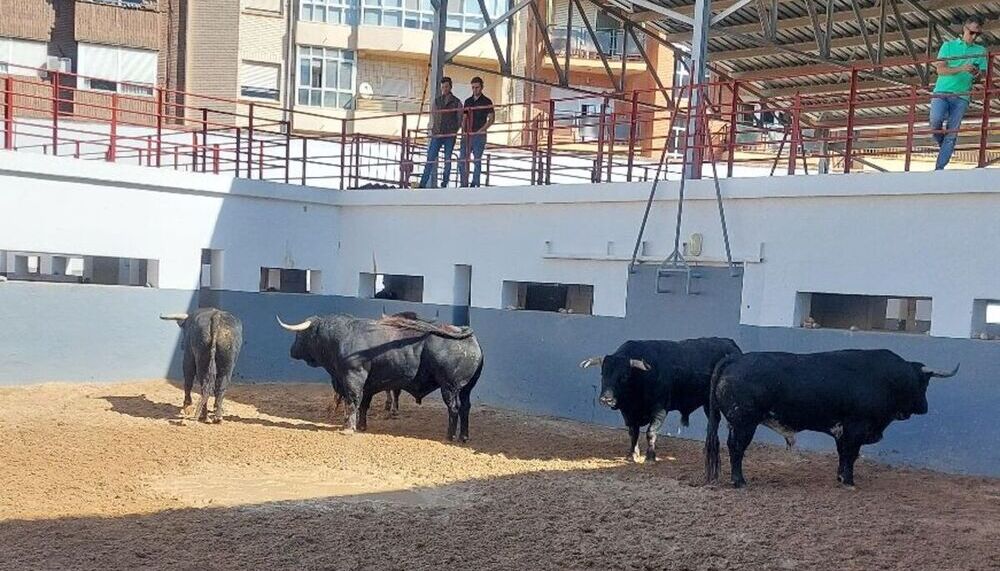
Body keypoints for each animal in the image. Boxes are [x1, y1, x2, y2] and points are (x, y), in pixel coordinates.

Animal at [282, 312, 484, 442]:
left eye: (301, 334)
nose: (291, 350)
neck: (340, 338)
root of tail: (466, 335)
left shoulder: (352, 378)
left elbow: (352, 402)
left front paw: (348, 428)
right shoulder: (368, 385)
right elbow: (364, 405)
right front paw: (361, 426)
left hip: (449, 387)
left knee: (454, 408)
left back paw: (449, 436)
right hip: (466, 388)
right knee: (465, 407)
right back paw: (464, 436)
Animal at [708, 350, 956, 490]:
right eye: (924, 382)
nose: (924, 408)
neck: (887, 378)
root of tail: (735, 359)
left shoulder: (842, 431)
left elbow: (843, 454)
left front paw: (840, 477)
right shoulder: (856, 429)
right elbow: (851, 455)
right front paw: (849, 481)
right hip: (744, 423)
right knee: (736, 448)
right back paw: (739, 481)